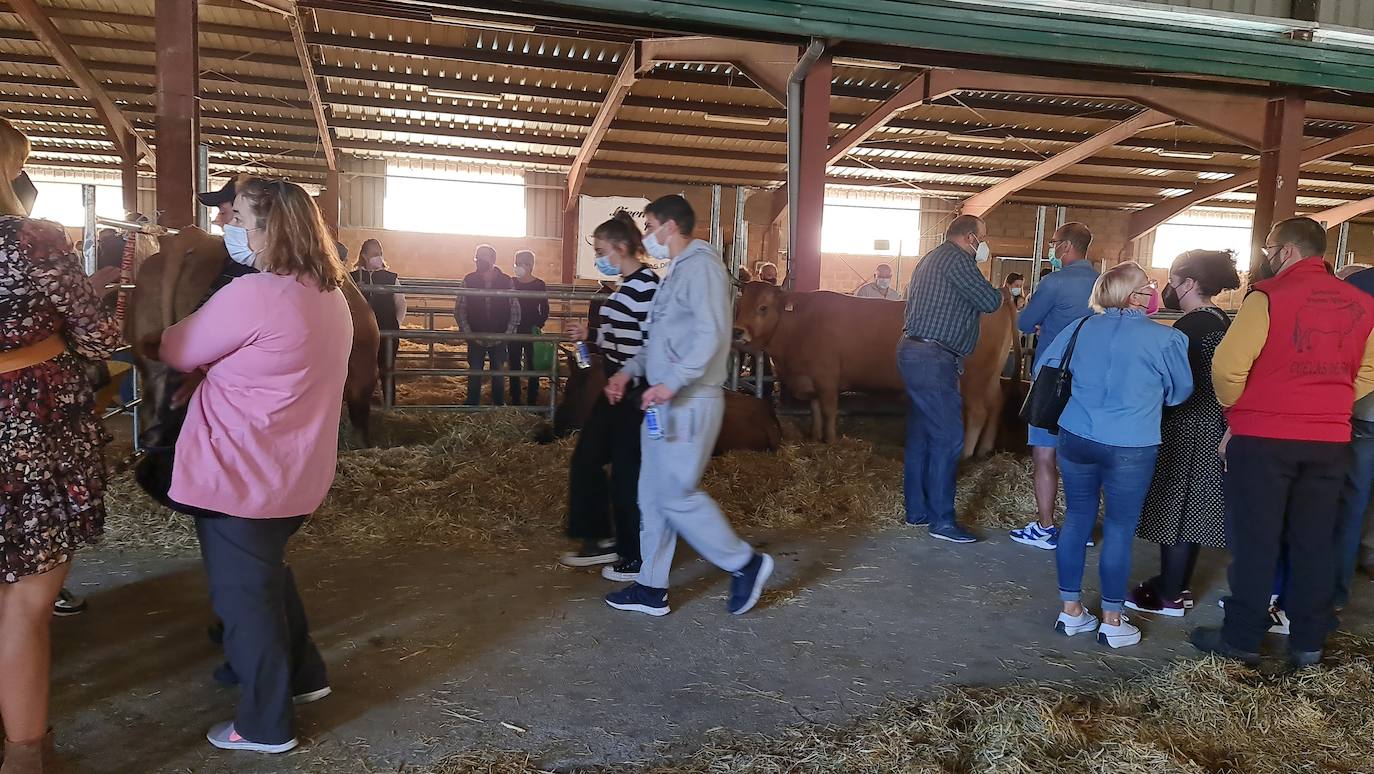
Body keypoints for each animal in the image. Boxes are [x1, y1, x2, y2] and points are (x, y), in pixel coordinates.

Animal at [736, 283, 1016, 453]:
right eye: (740, 305)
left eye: (763, 308)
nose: (738, 331)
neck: (799, 325)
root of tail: (999, 296)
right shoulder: (811, 378)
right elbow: (815, 410)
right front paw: (815, 438)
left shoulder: (827, 377)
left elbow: (828, 409)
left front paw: (831, 440)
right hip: (990, 378)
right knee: (997, 404)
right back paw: (984, 450)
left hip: (974, 379)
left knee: (978, 412)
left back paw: (966, 455)